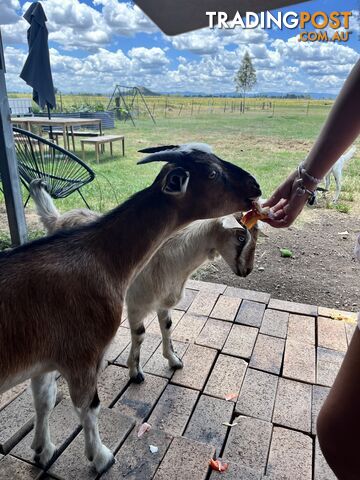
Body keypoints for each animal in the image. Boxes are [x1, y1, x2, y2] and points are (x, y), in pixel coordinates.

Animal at [0, 142, 260, 472]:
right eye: (213, 173)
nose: (256, 187)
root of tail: (58, 219)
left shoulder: (43, 357)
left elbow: (44, 399)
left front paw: (42, 450)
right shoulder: (87, 348)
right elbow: (91, 403)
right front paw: (101, 456)